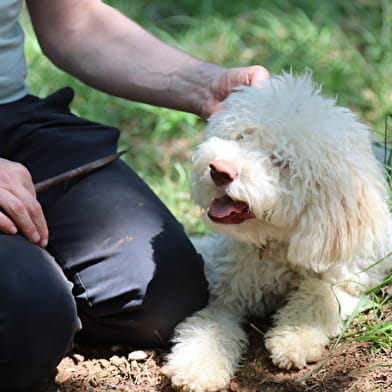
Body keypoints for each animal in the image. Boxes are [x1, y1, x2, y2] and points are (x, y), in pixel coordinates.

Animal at [162, 72, 392, 390]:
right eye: (242, 136)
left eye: (281, 161)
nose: (220, 170)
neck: (274, 245)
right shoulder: (223, 287)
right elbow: (209, 324)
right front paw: (197, 366)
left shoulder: (353, 276)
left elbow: (319, 293)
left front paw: (294, 339)